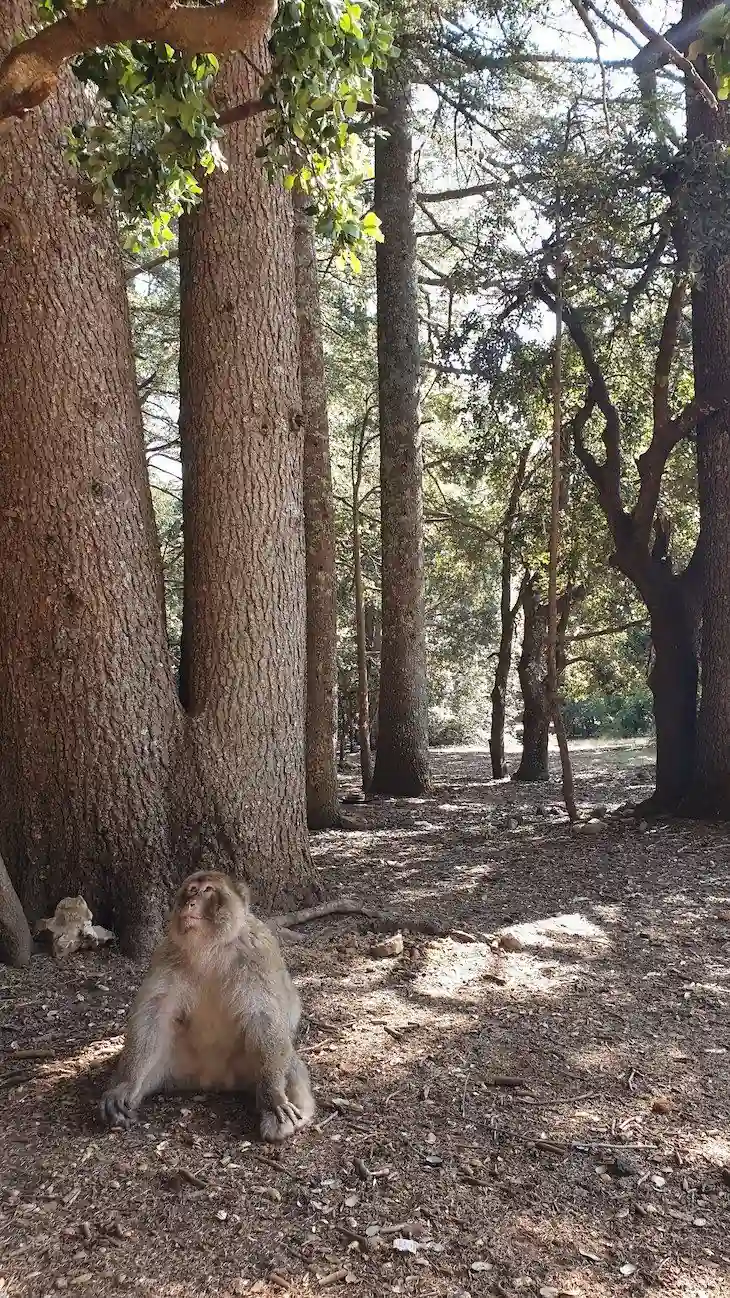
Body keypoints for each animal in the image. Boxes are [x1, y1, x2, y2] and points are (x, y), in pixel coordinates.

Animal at [100, 870, 315, 1142]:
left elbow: (264, 1015)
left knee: (290, 1064)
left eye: (208, 890)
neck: (210, 947)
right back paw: (127, 1090)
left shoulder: (257, 952)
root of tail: (213, 1079)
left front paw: (274, 1097)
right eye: (192, 890)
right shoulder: (168, 951)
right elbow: (154, 1013)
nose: (191, 903)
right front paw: (126, 1085)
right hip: (174, 1062)